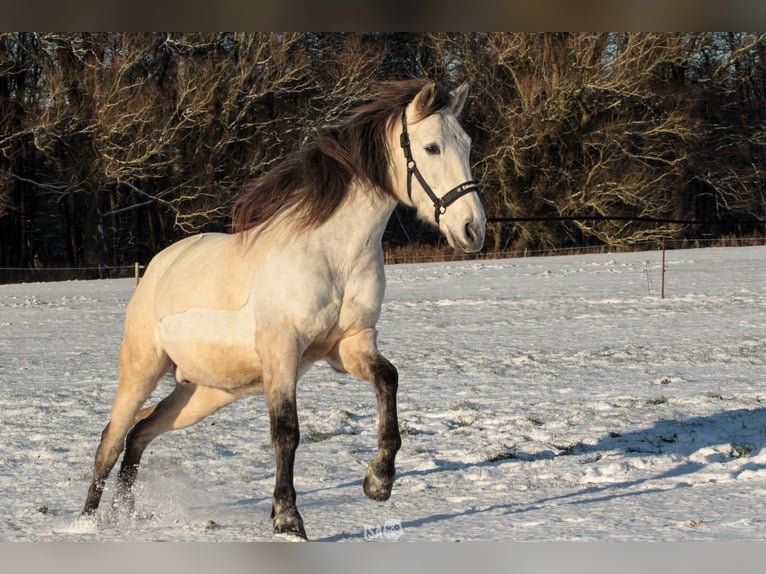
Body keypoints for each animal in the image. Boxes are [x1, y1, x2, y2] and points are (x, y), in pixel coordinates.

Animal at [81, 78, 486, 540]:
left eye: (467, 145)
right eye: (432, 147)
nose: (473, 230)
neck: (332, 256)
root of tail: (158, 267)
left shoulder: (350, 346)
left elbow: (388, 381)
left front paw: (378, 482)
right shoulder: (282, 353)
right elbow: (286, 433)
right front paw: (288, 518)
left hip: (203, 393)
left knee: (141, 431)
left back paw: (126, 514)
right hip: (142, 370)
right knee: (112, 438)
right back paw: (87, 523)